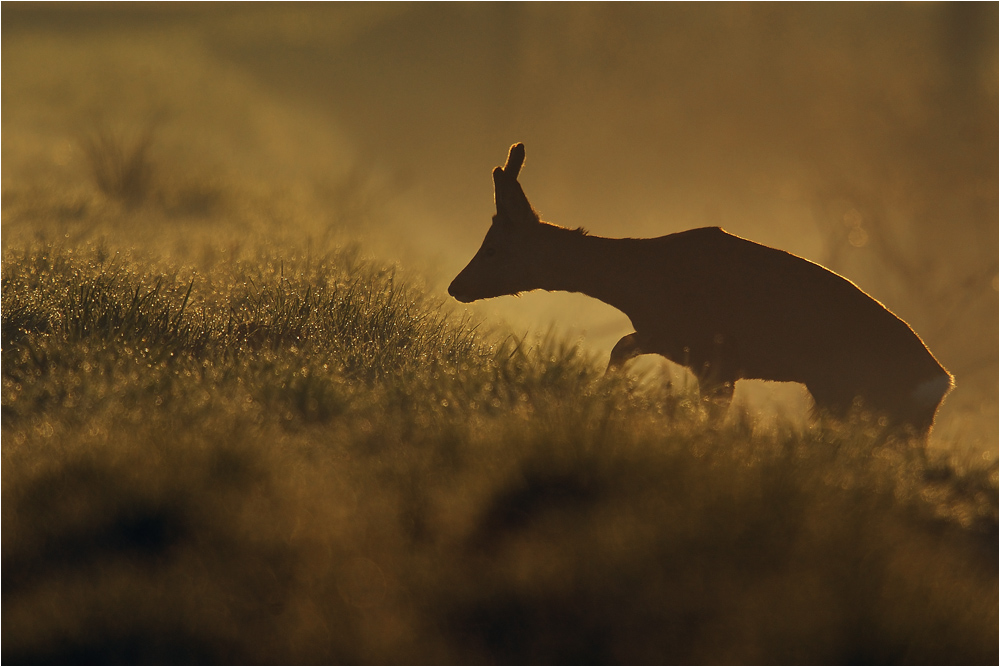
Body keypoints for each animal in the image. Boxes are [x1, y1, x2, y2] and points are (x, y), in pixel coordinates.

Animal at [452, 143, 952, 436]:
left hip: (866, 401)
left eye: (492, 248)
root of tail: (941, 383)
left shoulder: (718, 356)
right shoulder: (672, 340)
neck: (640, 283)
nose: (456, 286)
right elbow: (620, 347)